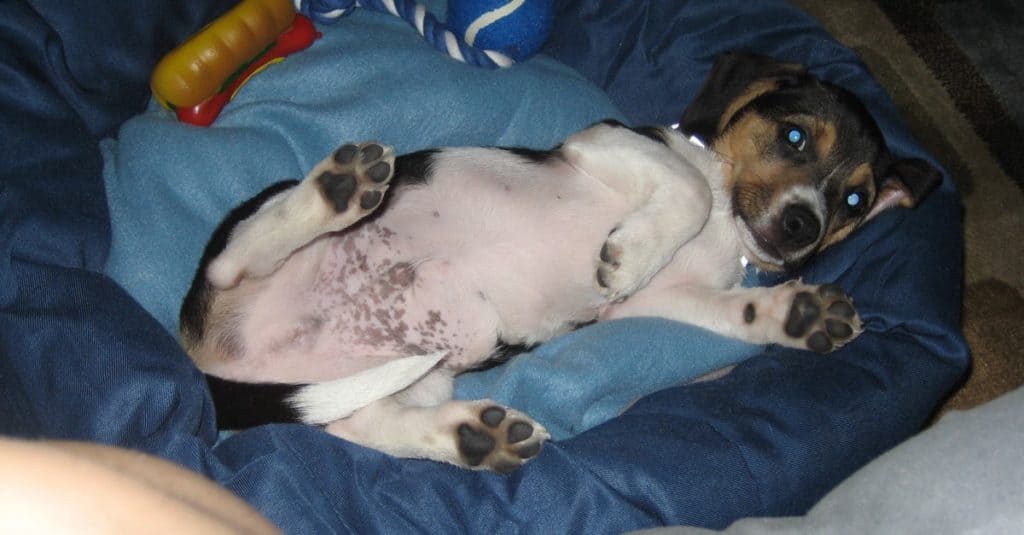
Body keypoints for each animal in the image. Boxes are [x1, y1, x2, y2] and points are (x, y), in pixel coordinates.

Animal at [176, 52, 937, 471]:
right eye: (795, 135)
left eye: (854, 198)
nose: (804, 224)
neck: (731, 226)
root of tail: (214, 368)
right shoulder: (606, 146)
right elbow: (688, 191)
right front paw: (629, 252)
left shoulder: (663, 301)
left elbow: (735, 312)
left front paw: (797, 312)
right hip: (252, 230)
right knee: (232, 263)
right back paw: (336, 190)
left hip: (417, 375)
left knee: (363, 425)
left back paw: (473, 437)